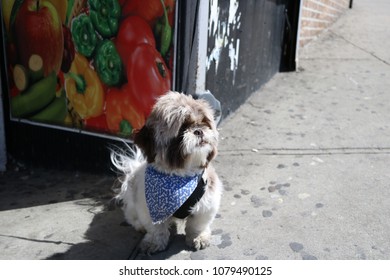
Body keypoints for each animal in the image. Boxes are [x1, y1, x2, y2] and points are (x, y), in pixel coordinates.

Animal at [112, 91, 222, 254]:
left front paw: (198, 237)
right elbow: (156, 229)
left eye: (204, 123)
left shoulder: (206, 202)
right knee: (131, 215)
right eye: (182, 128)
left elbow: (197, 225)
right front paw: (154, 242)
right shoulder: (148, 208)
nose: (198, 131)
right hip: (132, 199)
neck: (180, 176)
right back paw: (138, 224)